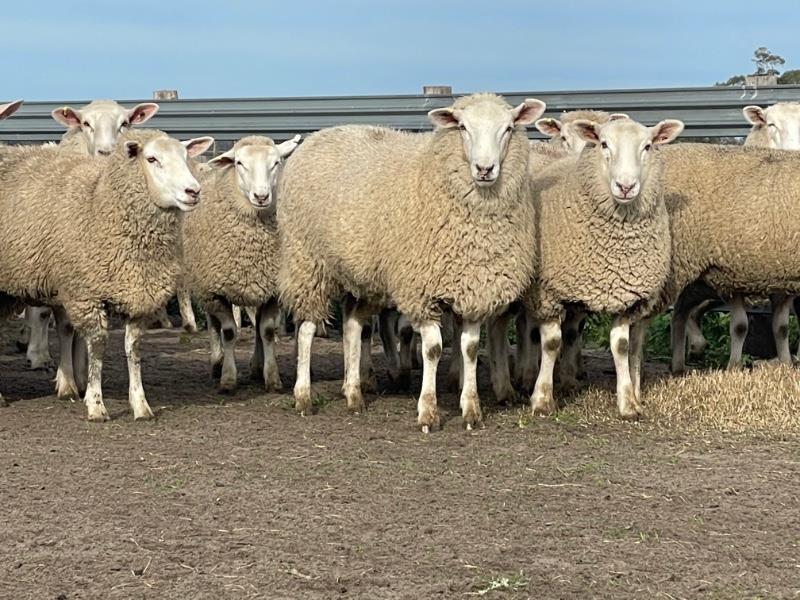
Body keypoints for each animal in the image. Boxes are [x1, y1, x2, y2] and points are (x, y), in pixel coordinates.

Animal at [0, 129, 214, 420]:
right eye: (152, 159)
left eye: (184, 156)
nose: (193, 191)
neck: (99, 201)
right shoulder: (85, 293)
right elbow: (98, 345)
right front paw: (96, 404)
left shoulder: (138, 294)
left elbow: (133, 348)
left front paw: (140, 404)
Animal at [182, 135, 300, 392]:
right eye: (239, 163)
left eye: (276, 162)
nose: (261, 197)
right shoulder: (215, 291)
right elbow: (228, 332)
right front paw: (228, 378)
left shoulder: (272, 289)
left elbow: (267, 331)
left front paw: (272, 377)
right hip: (204, 285)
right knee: (213, 324)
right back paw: (216, 363)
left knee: (257, 325)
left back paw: (256, 366)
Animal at [277, 93, 544, 431]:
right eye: (462, 127)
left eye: (508, 128)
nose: (485, 169)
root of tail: (317, 135)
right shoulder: (423, 289)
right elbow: (433, 349)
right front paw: (428, 412)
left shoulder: (474, 288)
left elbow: (470, 348)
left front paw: (471, 409)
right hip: (307, 262)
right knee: (306, 329)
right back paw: (303, 396)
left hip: (361, 275)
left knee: (352, 326)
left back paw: (353, 395)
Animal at [523, 117, 684, 419]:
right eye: (604, 144)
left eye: (647, 146)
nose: (626, 186)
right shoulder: (548, 292)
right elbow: (551, 343)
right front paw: (542, 399)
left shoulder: (626, 296)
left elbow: (620, 347)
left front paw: (628, 402)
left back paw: (569, 379)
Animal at [670, 102, 800, 373]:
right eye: (771, 124)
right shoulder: (733, 274)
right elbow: (740, 326)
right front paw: (734, 366)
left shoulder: (783, 278)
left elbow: (781, 327)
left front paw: (785, 363)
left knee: (682, 308)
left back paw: (681, 360)